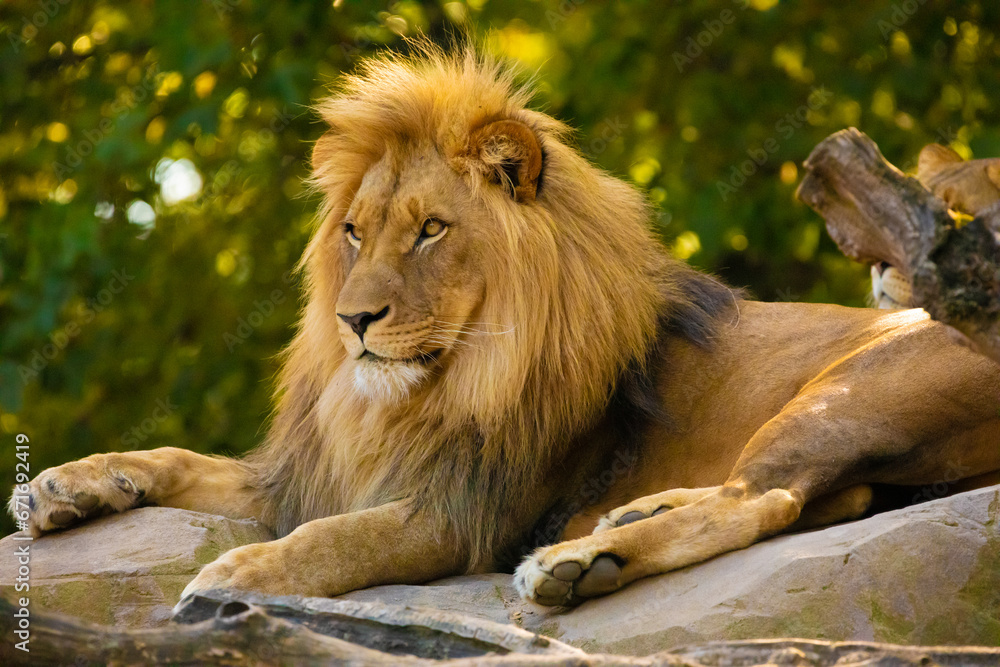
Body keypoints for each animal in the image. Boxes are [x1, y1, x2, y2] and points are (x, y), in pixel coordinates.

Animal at [10, 46, 1000, 608]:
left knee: (766, 500)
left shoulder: (464, 511)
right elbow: (183, 460)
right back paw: (622, 520)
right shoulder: (318, 472)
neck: (421, 392)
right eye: (354, 231)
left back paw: (579, 562)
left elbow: (335, 540)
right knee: (789, 496)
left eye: (431, 230)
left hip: (848, 388)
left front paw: (234, 576)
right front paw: (66, 484)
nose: (353, 318)